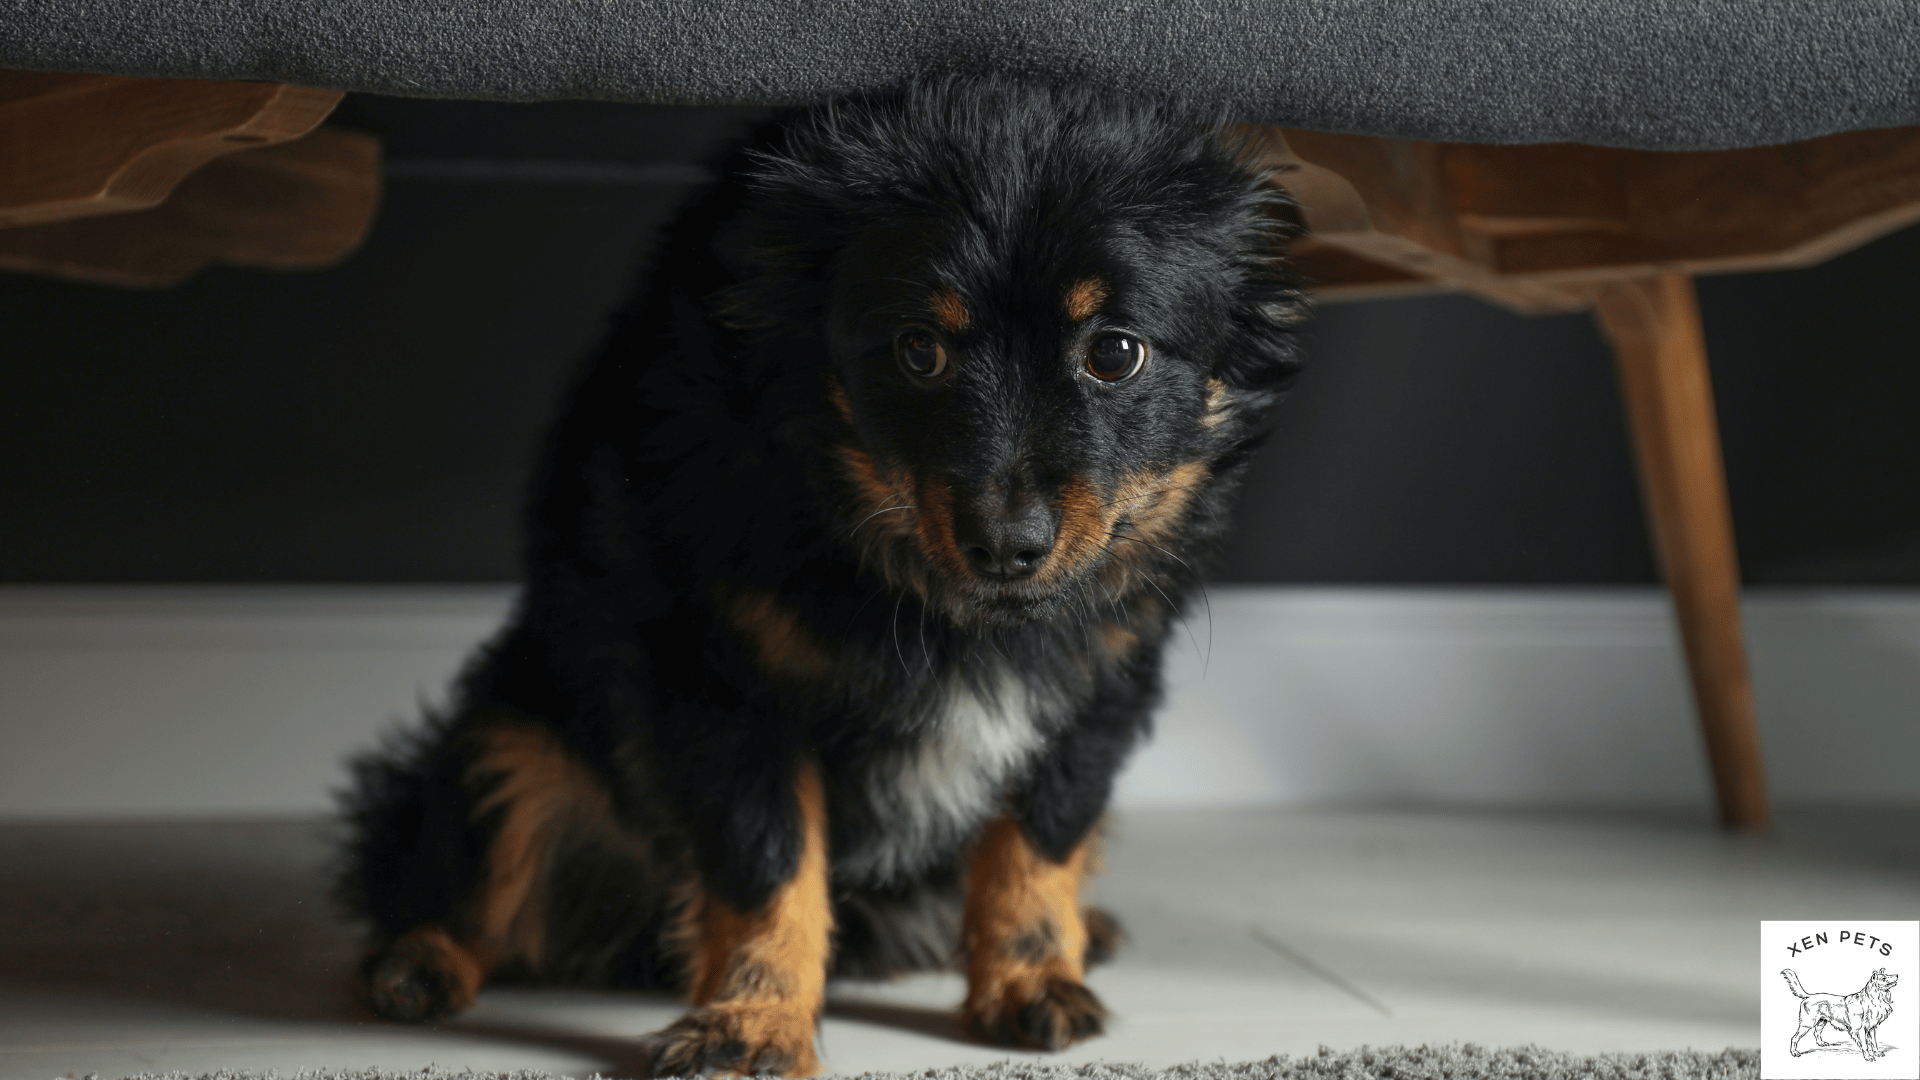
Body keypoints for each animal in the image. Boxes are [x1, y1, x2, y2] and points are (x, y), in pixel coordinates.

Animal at [337, 71, 1313, 1068]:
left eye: (1115, 351)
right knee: (461, 873)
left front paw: (1031, 977)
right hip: (512, 731)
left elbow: (1037, 842)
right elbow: (768, 867)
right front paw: (751, 1022)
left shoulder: (1099, 685)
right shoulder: (719, 684)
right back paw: (417, 964)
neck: (934, 599)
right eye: (919, 350)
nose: (1006, 544)